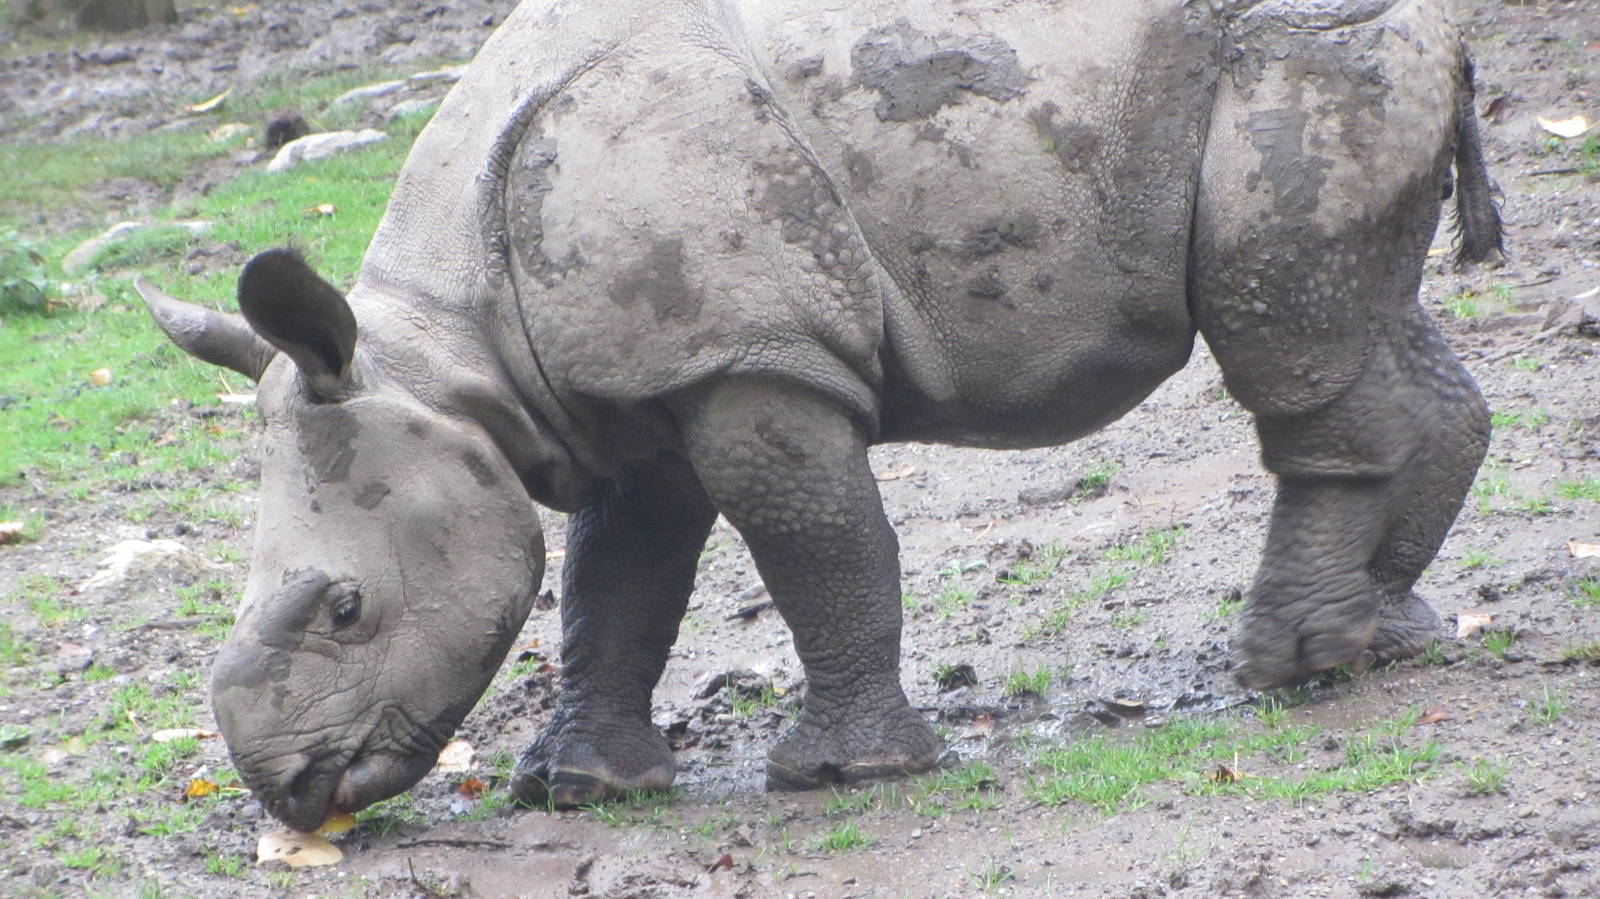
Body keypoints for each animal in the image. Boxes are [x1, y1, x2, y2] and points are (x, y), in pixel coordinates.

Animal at [139, 0, 1500, 830]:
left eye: (345, 607)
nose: (288, 787)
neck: (442, 348)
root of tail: (1438, 23)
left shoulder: (751, 357)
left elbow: (815, 543)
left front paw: (844, 771)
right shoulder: (630, 382)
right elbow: (615, 582)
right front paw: (581, 788)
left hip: (1304, 54)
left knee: (1289, 337)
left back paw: (1290, 666)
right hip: (1334, 54)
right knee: (1360, 313)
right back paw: (1388, 634)